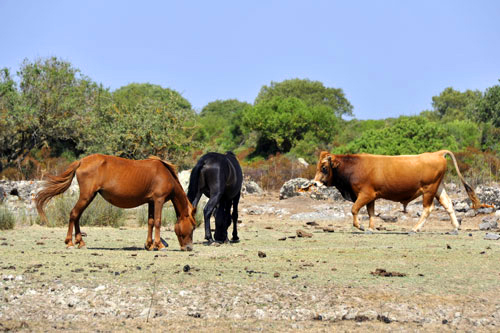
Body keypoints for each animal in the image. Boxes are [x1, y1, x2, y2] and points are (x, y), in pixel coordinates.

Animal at [34, 153, 195, 249]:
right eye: (193, 227)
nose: (188, 248)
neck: (165, 174)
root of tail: (81, 161)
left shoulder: (151, 201)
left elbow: (150, 222)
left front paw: (149, 245)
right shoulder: (159, 200)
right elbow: (158, 221)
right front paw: (159, 245)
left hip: (89, 196)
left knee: (77, 215)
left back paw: (80, 242)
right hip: (87, 196)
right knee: (74, 214)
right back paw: (70, 242)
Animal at [316, 149, 484, 232]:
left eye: (324, 168)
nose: (315, 183)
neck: (354, 166)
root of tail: (436, 153)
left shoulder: (365, 194)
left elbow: (354, 209)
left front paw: (360, 226)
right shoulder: (372, 196)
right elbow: (370, 212)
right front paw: (370, 228)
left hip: (429, 190)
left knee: (428, 209)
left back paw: (415, 228)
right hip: (438, 188)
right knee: (448, 204)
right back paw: (455, 227)